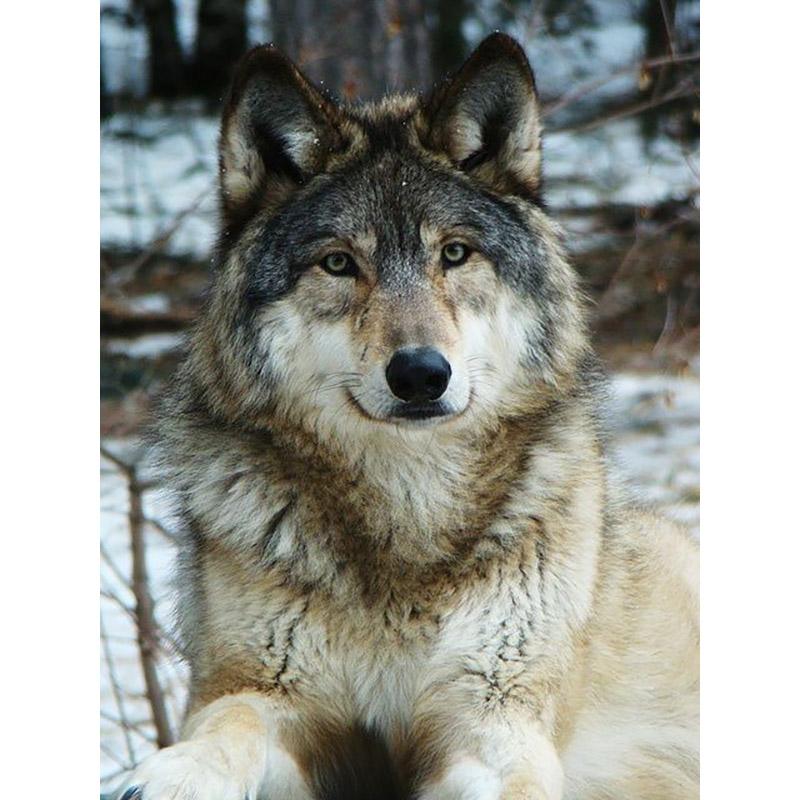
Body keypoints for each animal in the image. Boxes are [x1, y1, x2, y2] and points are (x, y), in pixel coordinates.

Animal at [115, 33, 699, 800]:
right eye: (338, 264)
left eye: (454, 253)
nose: (421, 373)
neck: (406, 517)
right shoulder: (267, 689)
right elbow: (231, 720)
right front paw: (182, 770)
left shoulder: (492, 710)